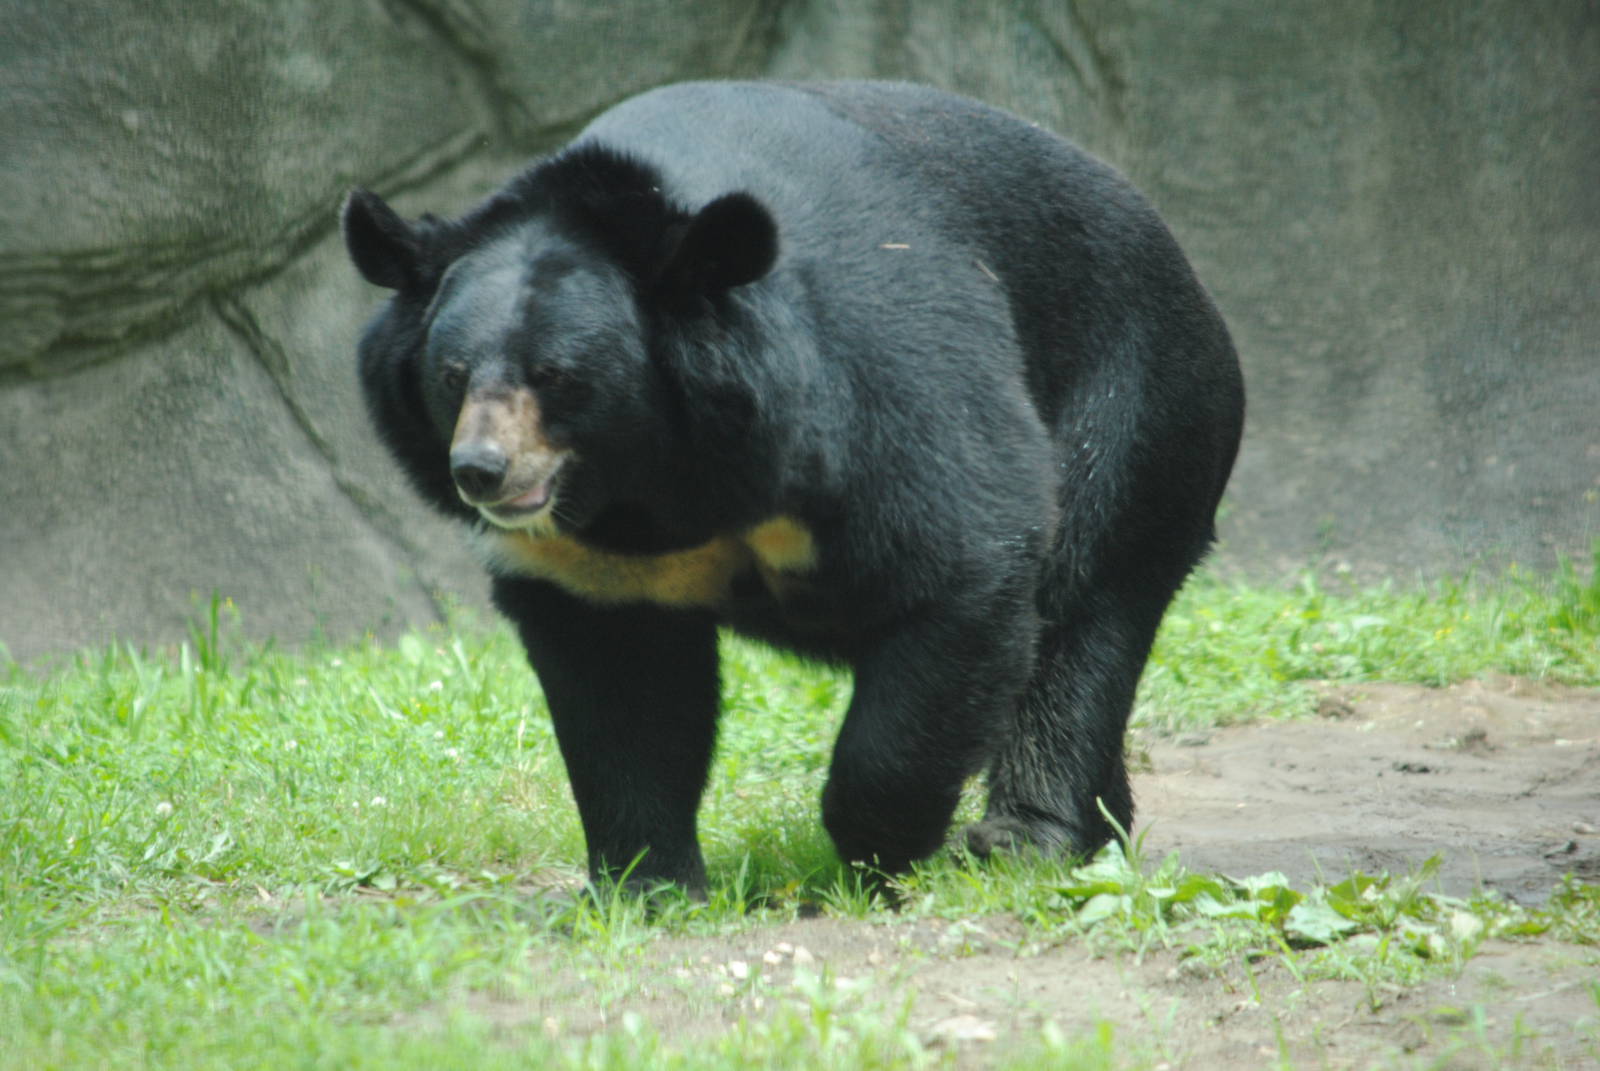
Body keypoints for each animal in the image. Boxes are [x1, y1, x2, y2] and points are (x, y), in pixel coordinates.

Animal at [341, 80, 1245, 897]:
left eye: (558, 376)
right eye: (452, 374)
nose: (481, 470)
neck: (658, 480)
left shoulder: (877, 379)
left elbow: (961, 556)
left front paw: (877, 846)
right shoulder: (592, 557)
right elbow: (622, 687)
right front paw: (646, 886)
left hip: (1134, 401)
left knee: (1081, 609)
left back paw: (1026, 836)